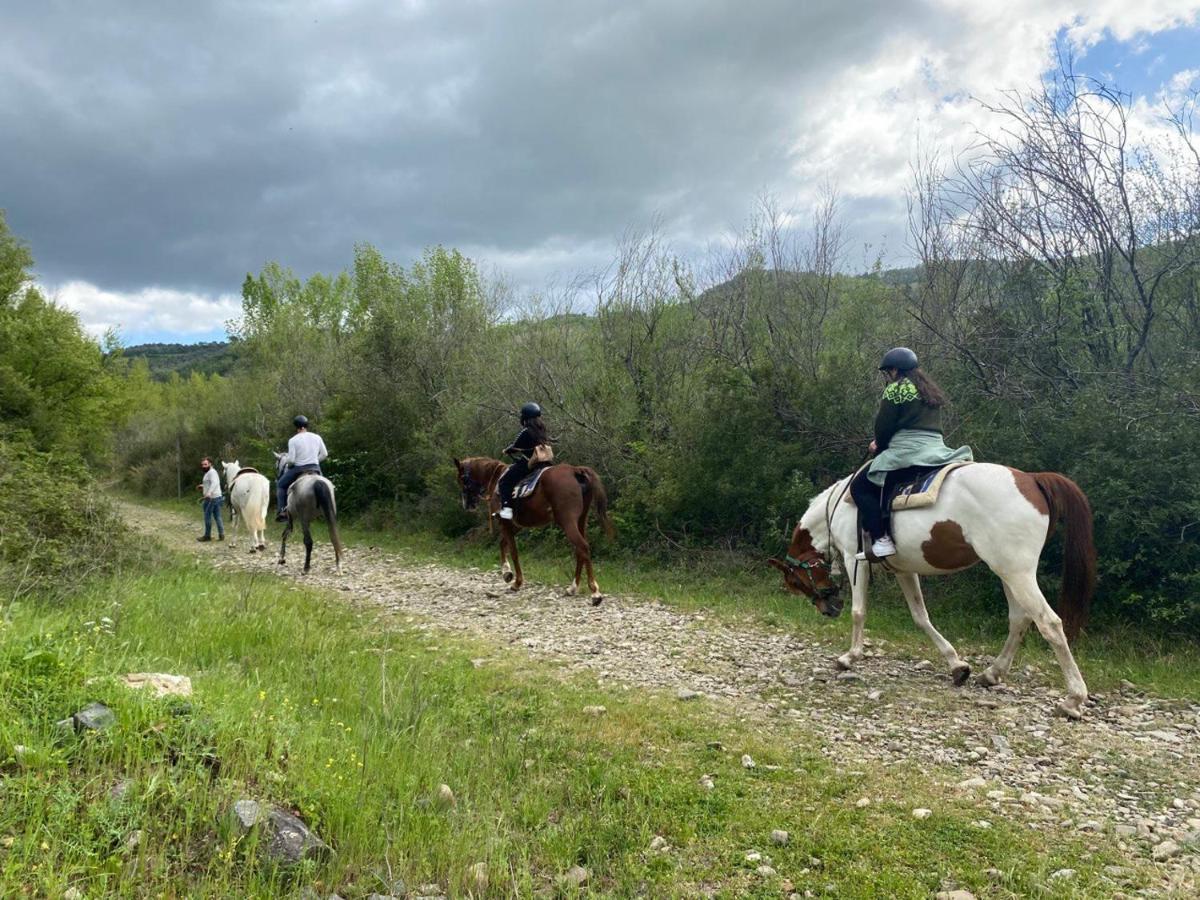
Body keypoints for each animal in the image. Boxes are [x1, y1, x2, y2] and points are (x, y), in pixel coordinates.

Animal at [453, 458, 614, 607]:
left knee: (583, 547)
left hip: (567, 521)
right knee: (579, 551)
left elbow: (513, 551)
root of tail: (575, 470)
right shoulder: (516, 525)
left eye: (462, 479)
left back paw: (595, 593)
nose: (467, 505)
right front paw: (507, 573)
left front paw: (516, 582)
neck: (496, 477)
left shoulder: (505, 522)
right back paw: (572, 588)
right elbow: (503, 543)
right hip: (581, 520)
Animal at [768, 465, 1099, 720]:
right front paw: (957, 666)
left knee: (1049, 623)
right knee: (1019, 619)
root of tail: (1031, 479)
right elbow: (921, 617)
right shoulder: (903, 569)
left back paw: (1073, 699)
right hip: (1008, 571)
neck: (839, 506)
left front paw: (849, 657)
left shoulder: (855, 559)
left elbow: (859, 611)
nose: (829, 609)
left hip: (1017, 572)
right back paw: (992, 674)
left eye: (797, 582)